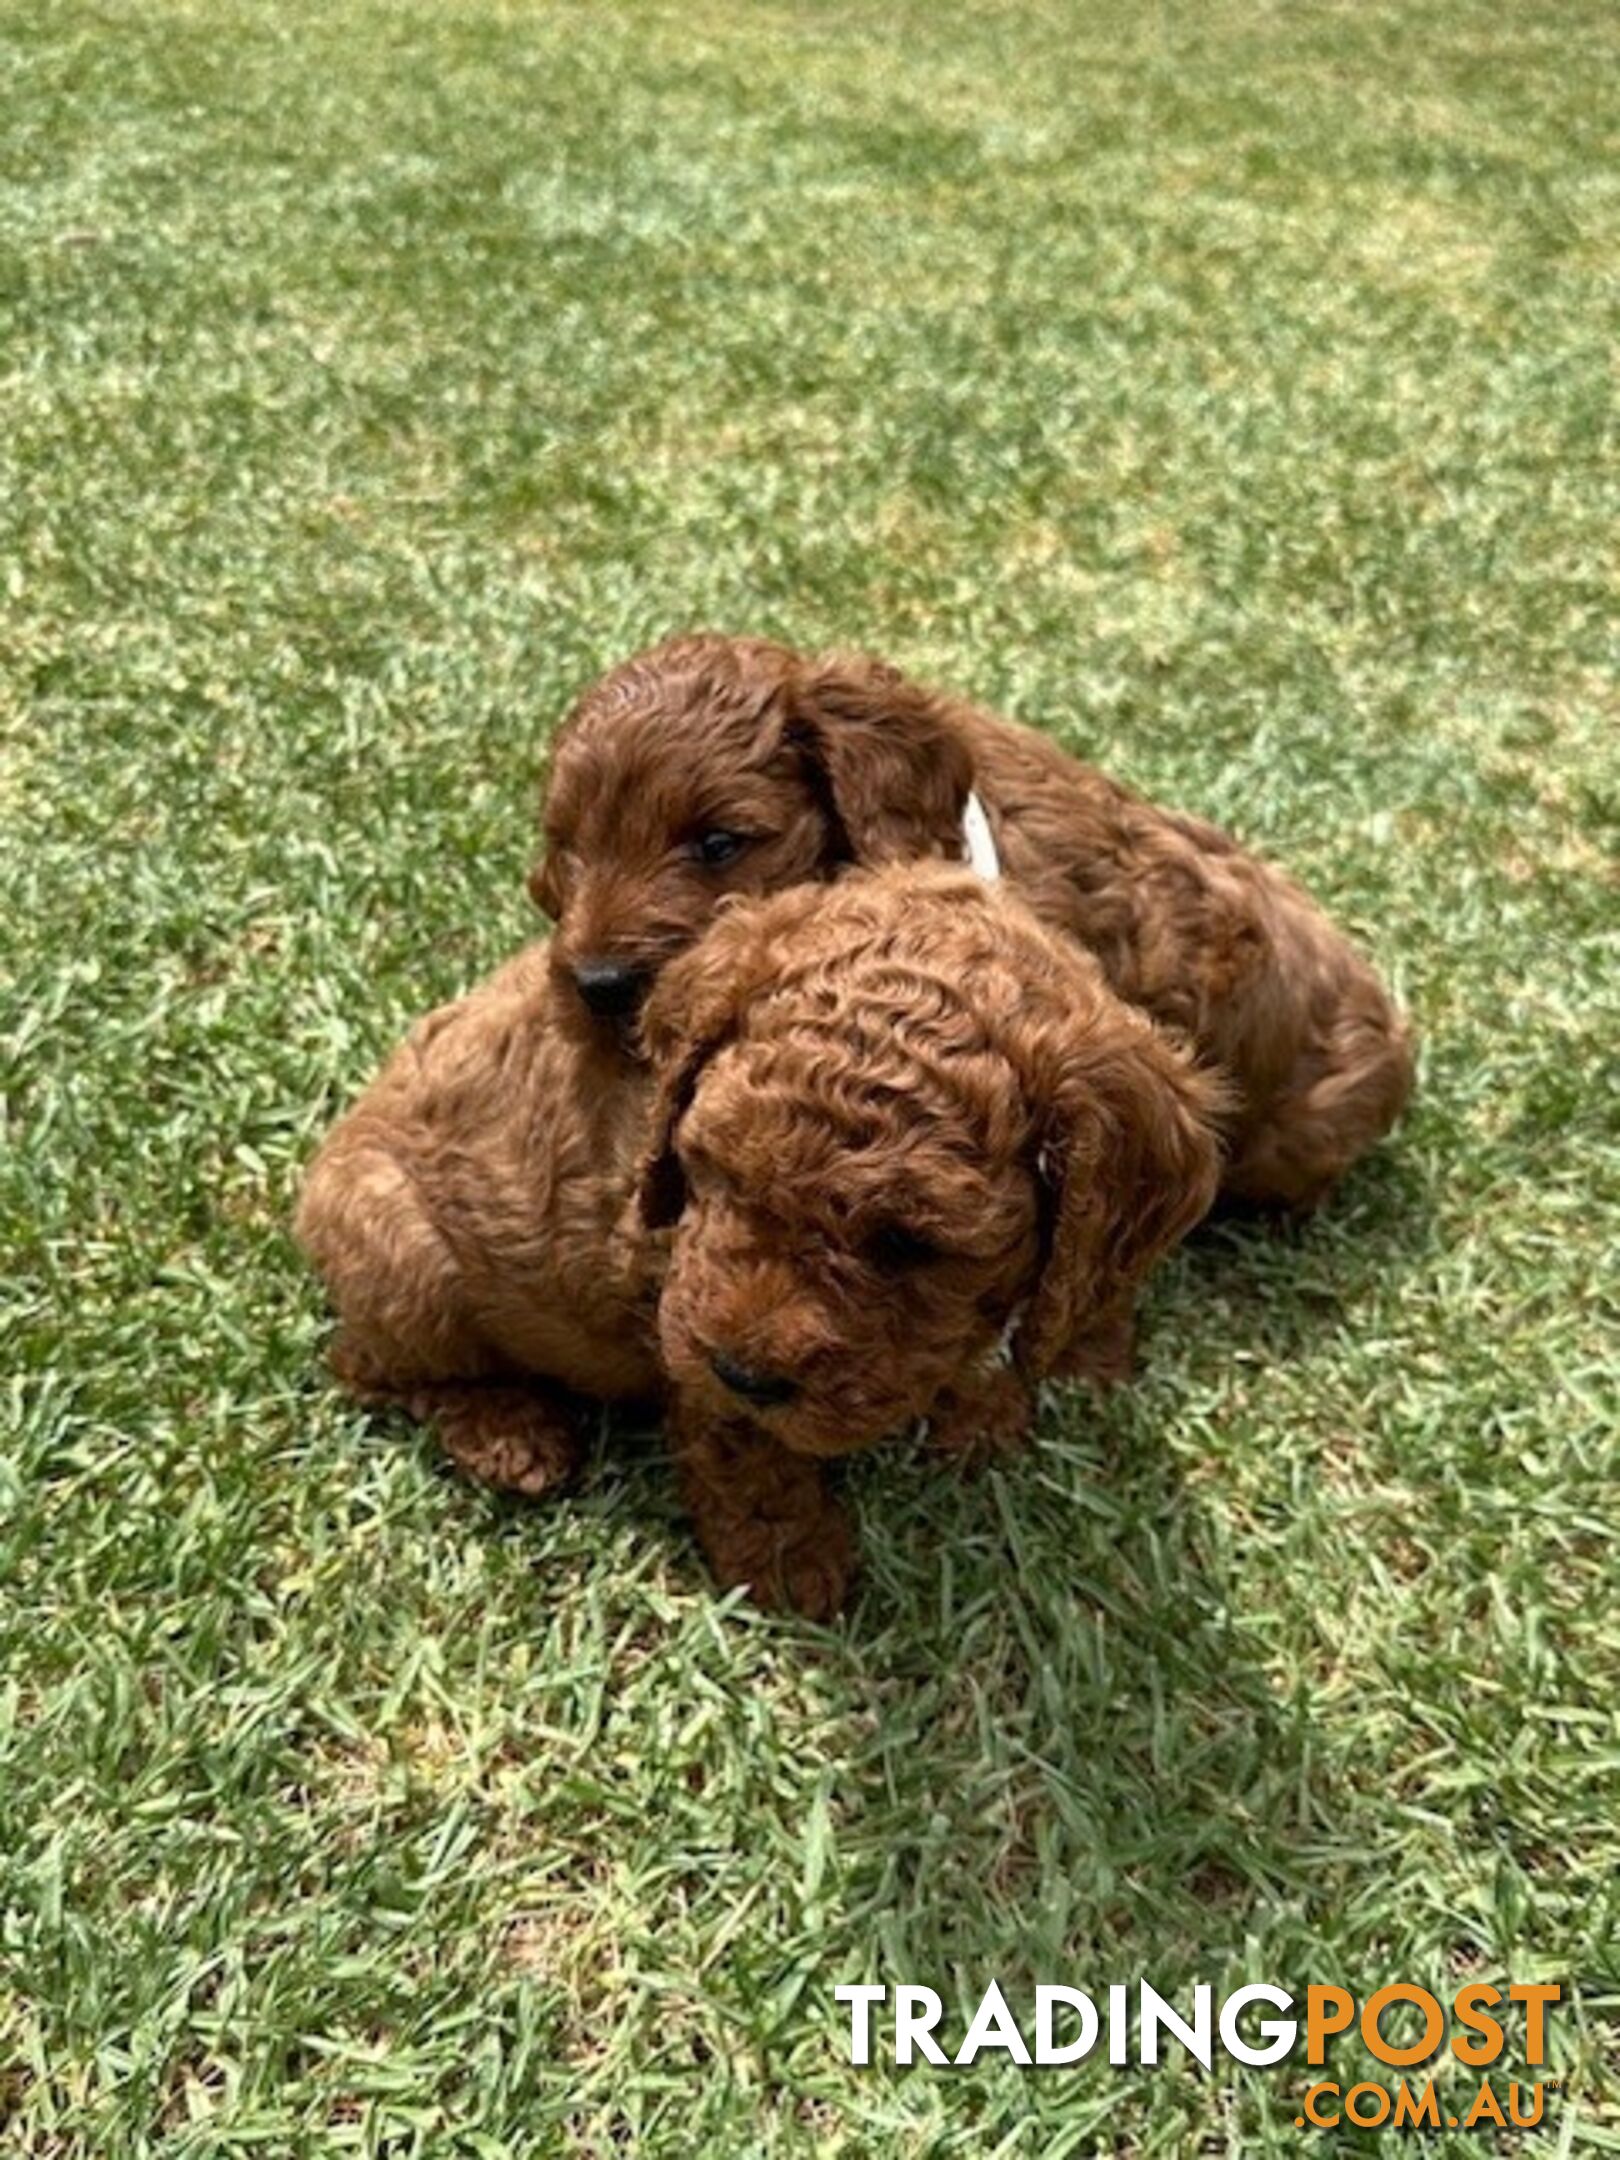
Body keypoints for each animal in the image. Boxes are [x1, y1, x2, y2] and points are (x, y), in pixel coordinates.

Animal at [298, 868, 1226, 1615]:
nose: (746, 1371)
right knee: (371, 1367)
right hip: (404, 1256)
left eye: (911, 1244)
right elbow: (740, 1441)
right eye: (711, 1171)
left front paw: (978, 1404)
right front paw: (789, 1557)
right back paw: (507, 1431)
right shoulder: (673, 1298)